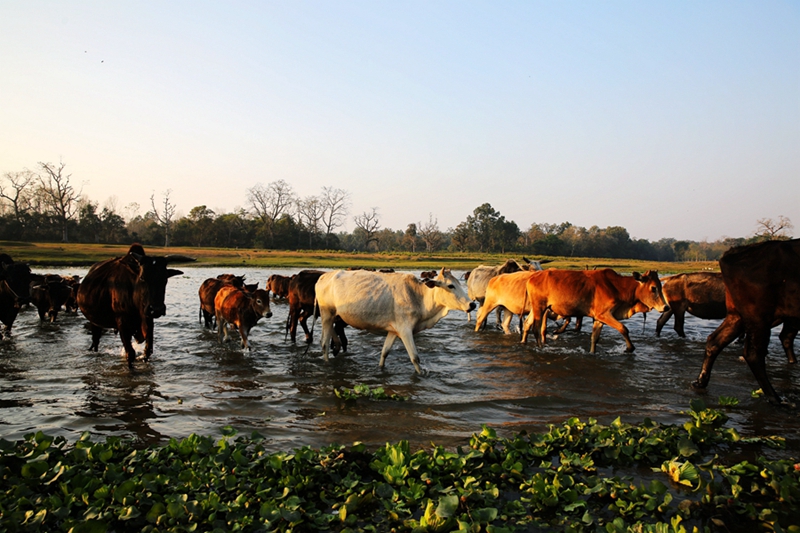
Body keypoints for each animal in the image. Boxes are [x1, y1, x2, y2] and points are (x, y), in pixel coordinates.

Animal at [312, 266, 476, 374]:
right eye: (450, 285)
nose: (472, 304)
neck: (419, 297)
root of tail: (323, 277)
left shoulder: (394, 330)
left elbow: (384, 353)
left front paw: (380, 369)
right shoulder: (405, 330)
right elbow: (415, 358)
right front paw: (422, 375)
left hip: (333, 316)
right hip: (326, 314)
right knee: (324, 343)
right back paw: (327, 363)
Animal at [520, 270, 668, 354]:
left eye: (661, 286)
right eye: (653, 288)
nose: (666, 307)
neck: (618, 287)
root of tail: (532, 278)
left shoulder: (598, 318)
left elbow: (594, 338)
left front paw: (592, 352)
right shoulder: (604, 314)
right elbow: (623, 328)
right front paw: (629, 348)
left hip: (537, 308)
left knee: (527, 323)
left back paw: (523, 342)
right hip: (540, 307)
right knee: (536, 328)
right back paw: (540, 348)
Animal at [692, 239, 800, 402]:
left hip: (738, 315)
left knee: (715, 341)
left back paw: (700, 381)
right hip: (759, 316)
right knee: (754, 354)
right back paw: (775, 398)